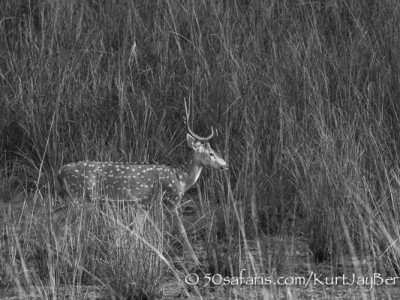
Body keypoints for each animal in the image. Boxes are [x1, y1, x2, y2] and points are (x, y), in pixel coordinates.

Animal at [57, 106, 230, 264]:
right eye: (211, 153)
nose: (225, 165)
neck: (181, 178)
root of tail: (60, 171)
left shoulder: (143, 205)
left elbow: (136, 231)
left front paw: (131, 255)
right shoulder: (169, 200)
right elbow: (181, 231)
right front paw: (197, 261)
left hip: (73, 199)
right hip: (80, 197)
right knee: (64, 227)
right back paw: (65, 258)